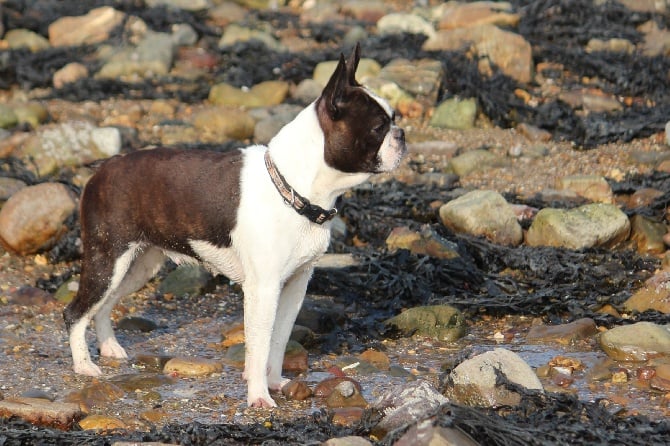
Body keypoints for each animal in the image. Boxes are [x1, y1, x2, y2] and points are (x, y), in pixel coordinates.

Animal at [64, 44, 410, 408]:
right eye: (378, 127)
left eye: (393, 120)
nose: (402, 134)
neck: (293, 189)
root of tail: (104, 167)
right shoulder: (263, 289)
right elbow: (259, 346)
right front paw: (258, 395)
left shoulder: (295, 286)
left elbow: (278, 339)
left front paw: (275, 382)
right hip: (108, 260)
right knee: (76, 312)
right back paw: (84, 365)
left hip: (138, 266)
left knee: (104, 305)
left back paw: (109, 348)